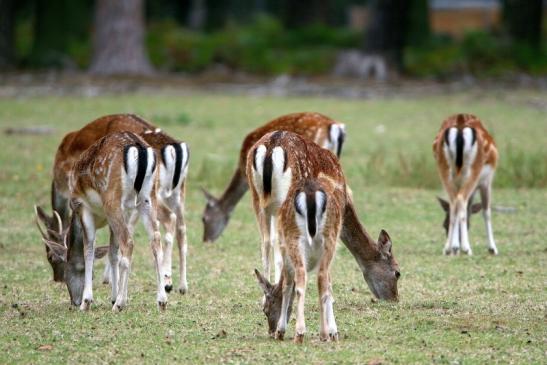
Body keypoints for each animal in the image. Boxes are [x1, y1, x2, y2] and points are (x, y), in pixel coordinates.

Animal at [35, 114, 191, 296]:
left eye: (50, 256)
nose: (57, 278)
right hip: (174, 192)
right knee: (178, 226)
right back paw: (180, 286)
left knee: (163, 222)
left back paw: (165, 283)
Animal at [248, 129, 398, 302]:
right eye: (397, 273)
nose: (395, 299)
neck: (346, 199)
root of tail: (272, 146)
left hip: (258, 199)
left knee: (266, 242)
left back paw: (266, 296)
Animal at [432, 112, 500, 255]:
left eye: (444, 225)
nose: (453, 249)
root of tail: (460, 122)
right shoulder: (487, 181)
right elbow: (486, 212)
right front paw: (492, 248)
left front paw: (454, 247)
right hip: (474, 170)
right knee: (461, 199)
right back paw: (466, 248)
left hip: (443, 169)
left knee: (454, 202)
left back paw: (448, 248)